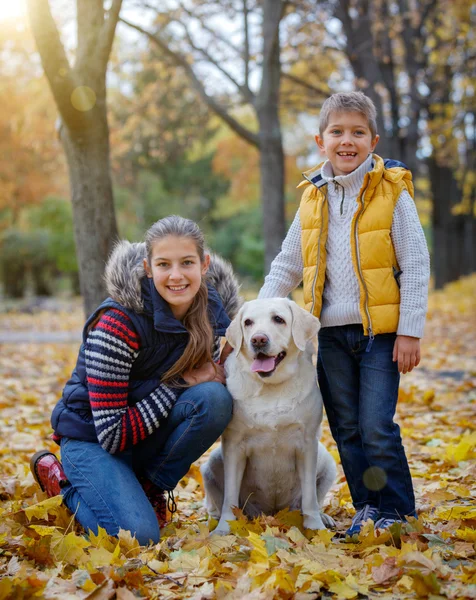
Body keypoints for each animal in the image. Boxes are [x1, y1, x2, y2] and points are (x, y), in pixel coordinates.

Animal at [200, 298, 334, 536]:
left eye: (278, 319)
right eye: (248, 322)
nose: (258, 339)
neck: (270, 386)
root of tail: (272, 513)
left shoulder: (308, 444)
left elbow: (310, 496)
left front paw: (315, 527)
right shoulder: (233, 445)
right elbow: (230, 498)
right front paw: (225, 528)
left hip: (328, 462)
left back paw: (323, 517)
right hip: (212, 463)